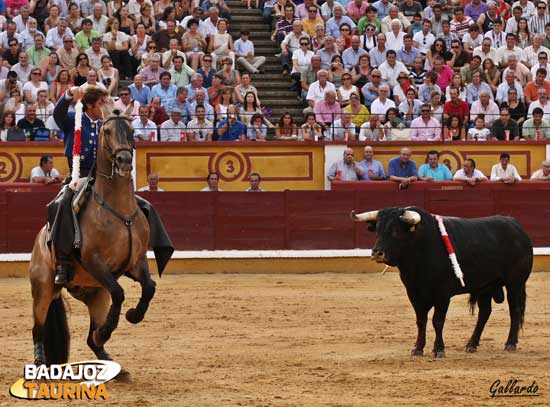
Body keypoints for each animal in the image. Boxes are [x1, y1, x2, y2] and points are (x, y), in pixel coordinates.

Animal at [30, 104, 156, 380]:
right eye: (107, 131)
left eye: (131, 130)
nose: (124, 160)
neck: (118, 207)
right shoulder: (94, 261)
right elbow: (120, 292)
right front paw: (107, 331)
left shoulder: (137, 261)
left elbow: (149, 287)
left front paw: (133, 315)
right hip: (43, 288)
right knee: (38, 329)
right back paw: (42, 364)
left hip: (96, 293)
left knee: (89, 336)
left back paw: (111, 363)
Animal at [354, 207, 536, 356]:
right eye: (377, 230)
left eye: (395, 231)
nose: (377, 253)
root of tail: (516, 226)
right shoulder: (414, 293)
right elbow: (421, 321)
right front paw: (418, 348)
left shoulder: (442, 294)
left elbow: (437, 320)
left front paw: (438, 349)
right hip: (485, 286)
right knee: (484, 312)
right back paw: (471, 344)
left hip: (515, 283)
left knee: (515, 310)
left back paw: (510, 343)